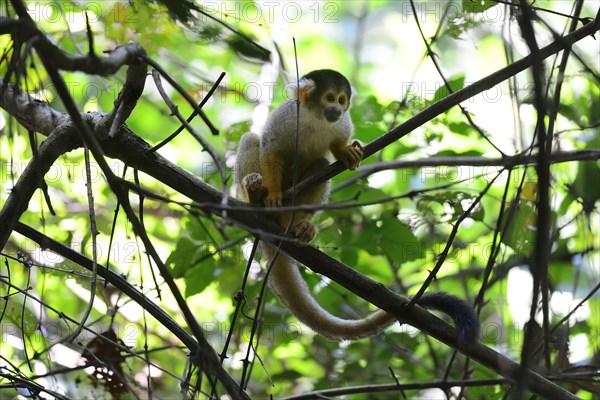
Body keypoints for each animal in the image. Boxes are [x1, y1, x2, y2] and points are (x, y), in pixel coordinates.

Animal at [233, 70, 478, 346]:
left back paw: (298, 225)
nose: (337, 109)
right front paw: (272, 193)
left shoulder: (342, 123)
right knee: (251, 140)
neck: (314, 117)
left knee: (320, 164)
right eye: (329, 98)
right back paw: (257, 196)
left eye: (341, 100)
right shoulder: (285, 117)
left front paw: (345, 152)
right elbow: (271, 149)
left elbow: (336, 144)